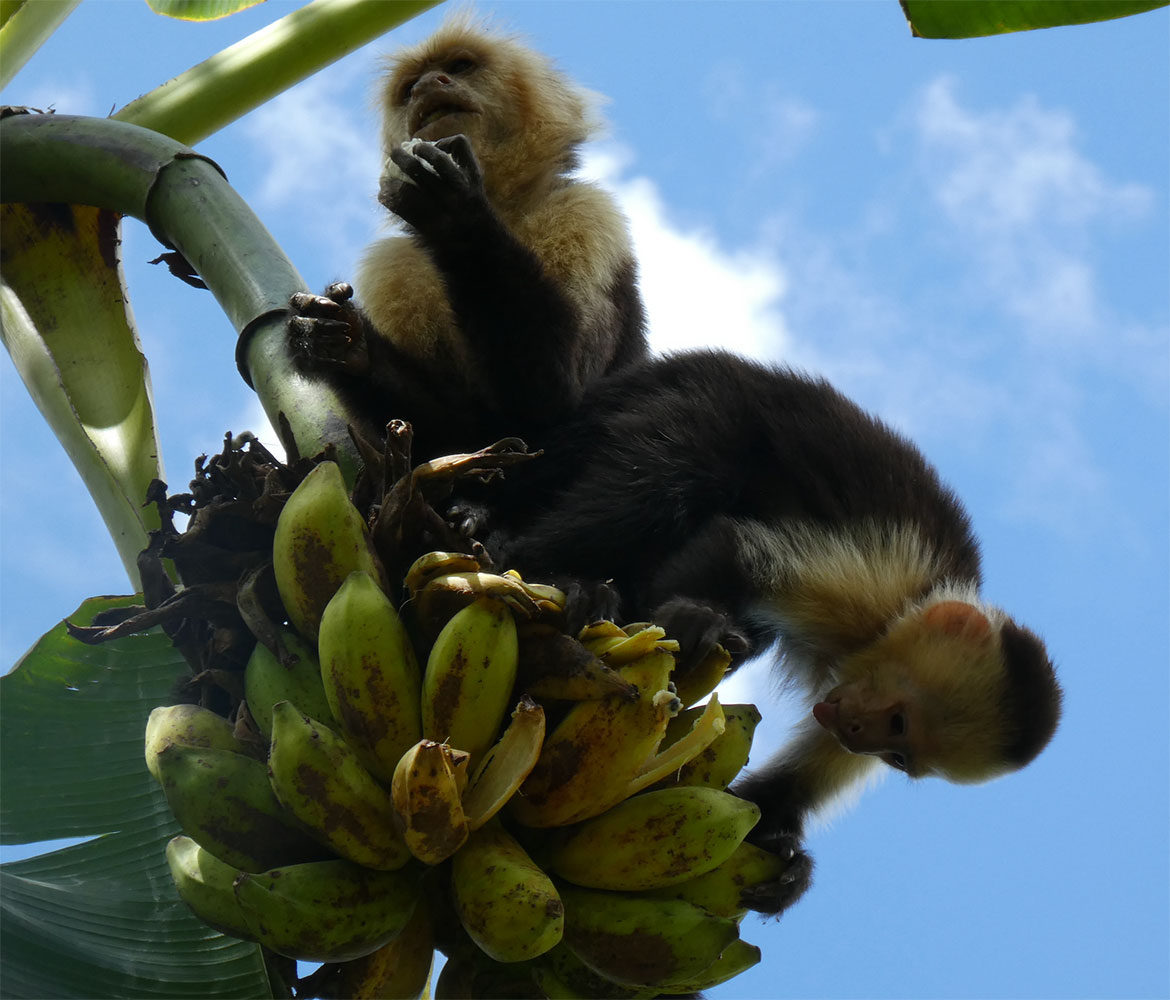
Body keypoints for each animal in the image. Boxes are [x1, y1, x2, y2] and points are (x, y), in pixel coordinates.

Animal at [289, 17, 647, 460]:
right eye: (410, 88)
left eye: (459, 67)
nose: (428, 84)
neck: (501, 206)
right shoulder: (392, 265)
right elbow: (436, 444)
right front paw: (343, 340)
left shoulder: (583, 213)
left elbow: (554, 400)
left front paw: (453, 212)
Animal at [477, 349, 1062, 912]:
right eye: (898, 722)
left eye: (896, 754)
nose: (857, 735)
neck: (901, 613)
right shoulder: (877, 577)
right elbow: (738, 545)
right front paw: (692, 612)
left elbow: (776, 795)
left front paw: (789, 860)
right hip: (696, 400)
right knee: (674, 468)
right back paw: (544, 565)